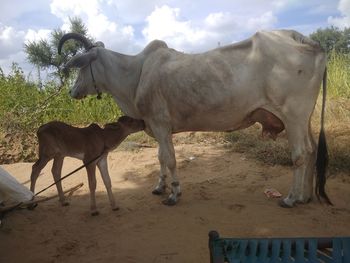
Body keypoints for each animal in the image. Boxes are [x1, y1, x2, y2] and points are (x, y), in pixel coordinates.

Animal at [58, 31, 330, 208]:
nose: (71, 91)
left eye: (81, 66)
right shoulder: (157, 129)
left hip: (293, 115)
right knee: (312, 149)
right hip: (304, 119)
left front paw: (174, 194)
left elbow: (170, 159)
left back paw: (291, 198)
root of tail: (309, 42)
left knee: (300, 154)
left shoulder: (160, 123)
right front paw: (160, 187)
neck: (135, 74)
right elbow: (160, 157)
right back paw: (305, 196)